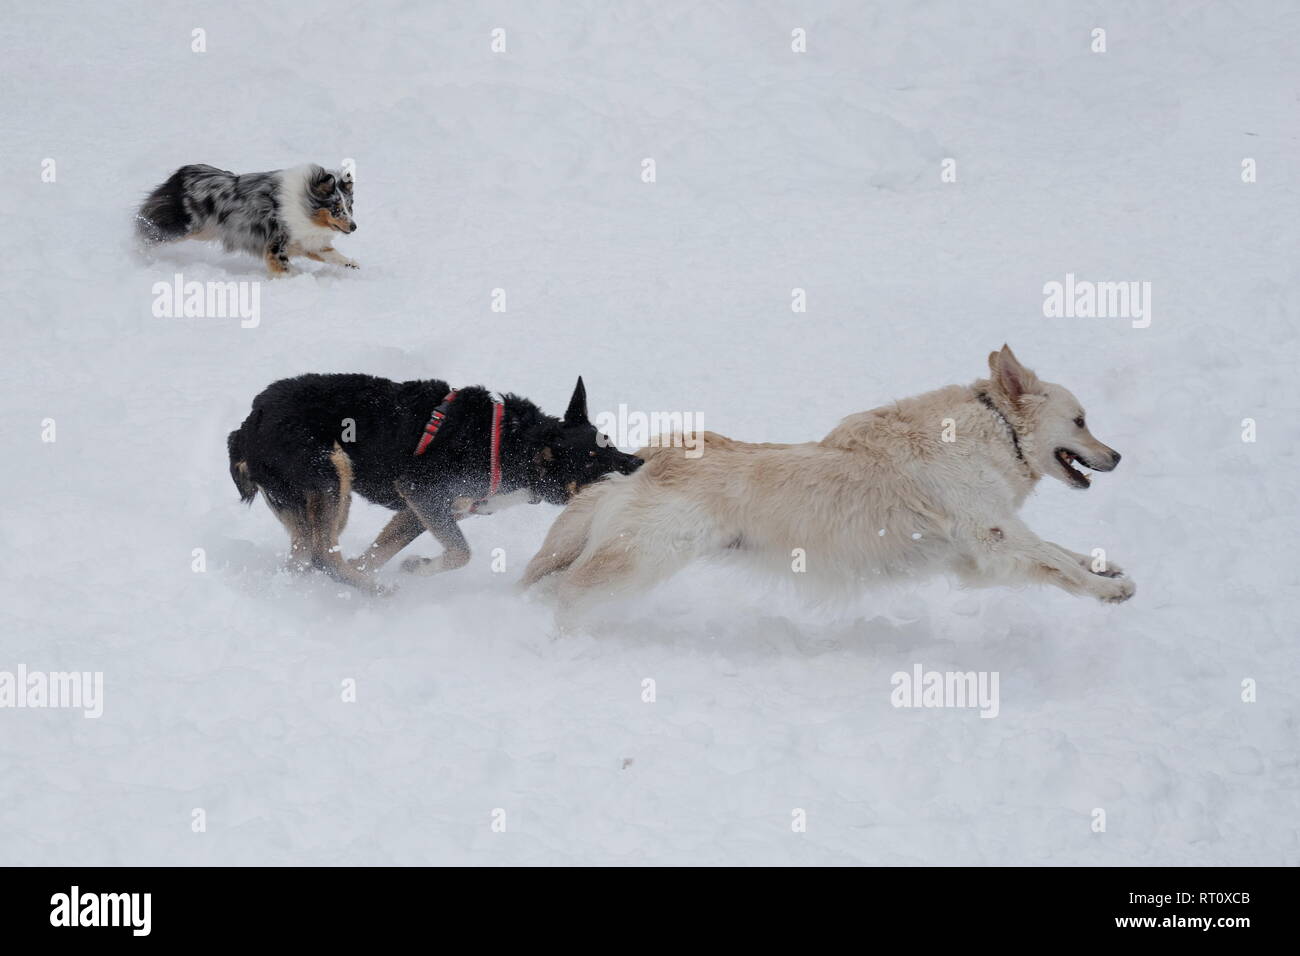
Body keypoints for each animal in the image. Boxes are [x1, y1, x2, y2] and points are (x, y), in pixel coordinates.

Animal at [137, 162, 358, 274]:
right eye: (336, 208)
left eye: (350, 206)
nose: (354, 227)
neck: (305, 203)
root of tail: (179, 175)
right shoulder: (275, 245)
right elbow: (284, 267)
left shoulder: (307, 242)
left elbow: (332, 254)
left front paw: (353, 265)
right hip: (179, 227)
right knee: (145, 234)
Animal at [232, 374, 644, 590]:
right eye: (593, 463)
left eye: (609, 442)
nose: (639, 462)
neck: (509, 446)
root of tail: (250, 420)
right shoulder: (423, 493)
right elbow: (461, 553)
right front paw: (418, 568)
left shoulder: (423, 510)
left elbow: (380, 551)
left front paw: (384, 566)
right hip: (333, 474)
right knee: (321, 555)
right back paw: (376, 592)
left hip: (311, 500)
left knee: (306, 554)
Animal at [522, 348, 1133, 616]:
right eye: (1081, 421)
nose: (1118, 456)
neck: (994, 433)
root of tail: (638, 459)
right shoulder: (992, 531)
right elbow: (1053, 559)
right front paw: (1106, 589)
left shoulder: (979, 552)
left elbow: (1058, 553)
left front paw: (1105, 568)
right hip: (641, 558)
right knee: (568, 592)